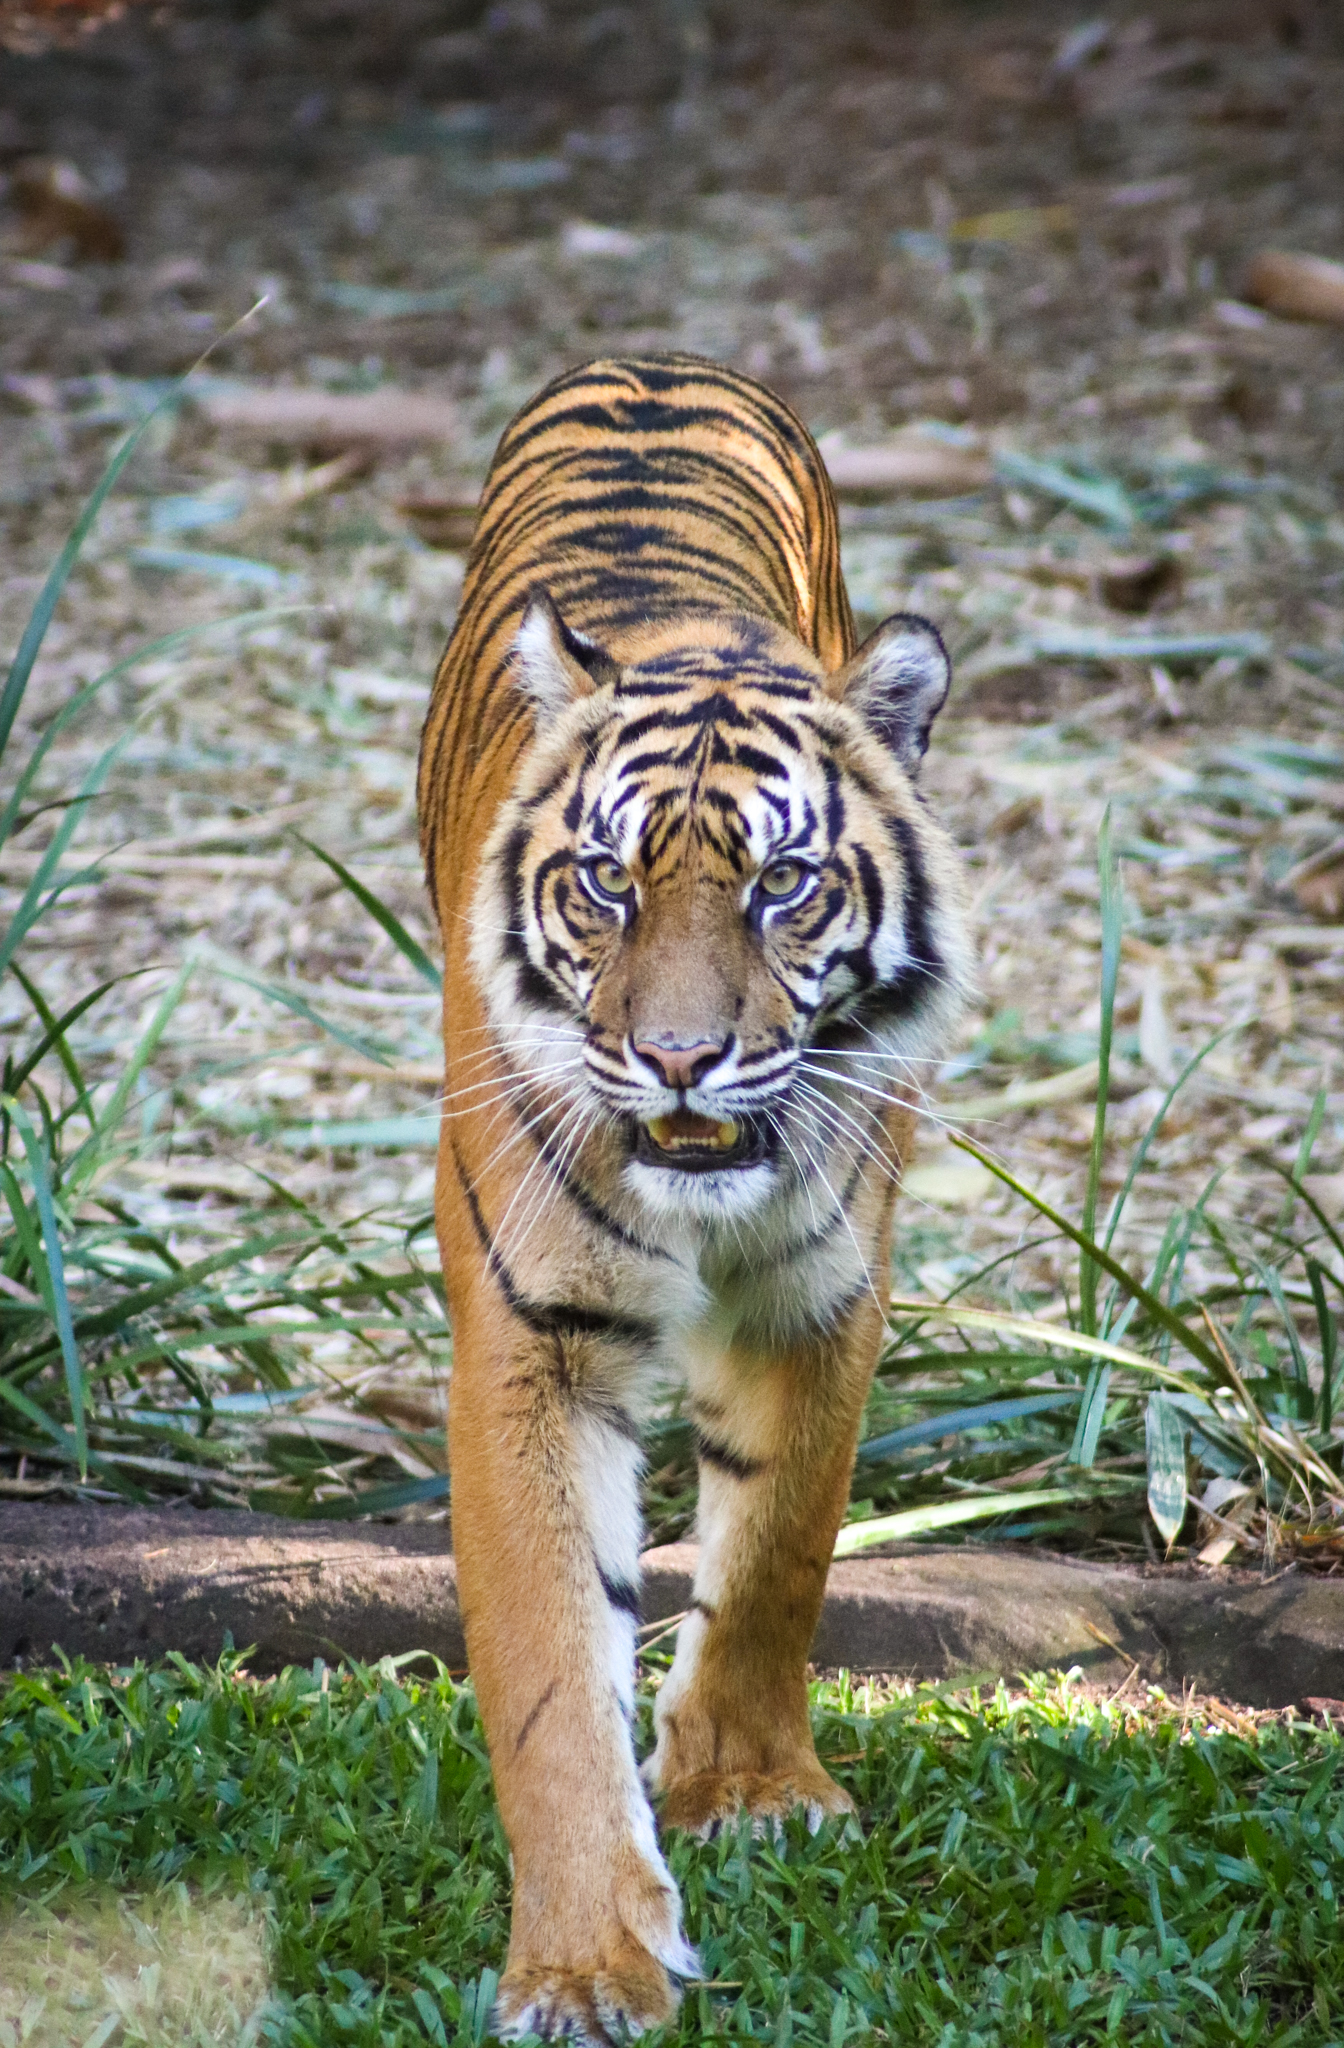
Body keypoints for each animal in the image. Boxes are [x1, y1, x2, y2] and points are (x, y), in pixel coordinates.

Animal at [416, 352, 971, 2045]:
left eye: (781, 886)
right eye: (609, 884)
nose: (675, 1057)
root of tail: (655, 359)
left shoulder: (823, 1290)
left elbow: (783, 1543)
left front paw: (751, 1791)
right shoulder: (531, 1337)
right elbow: (547, 1667)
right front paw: (586, 1965)